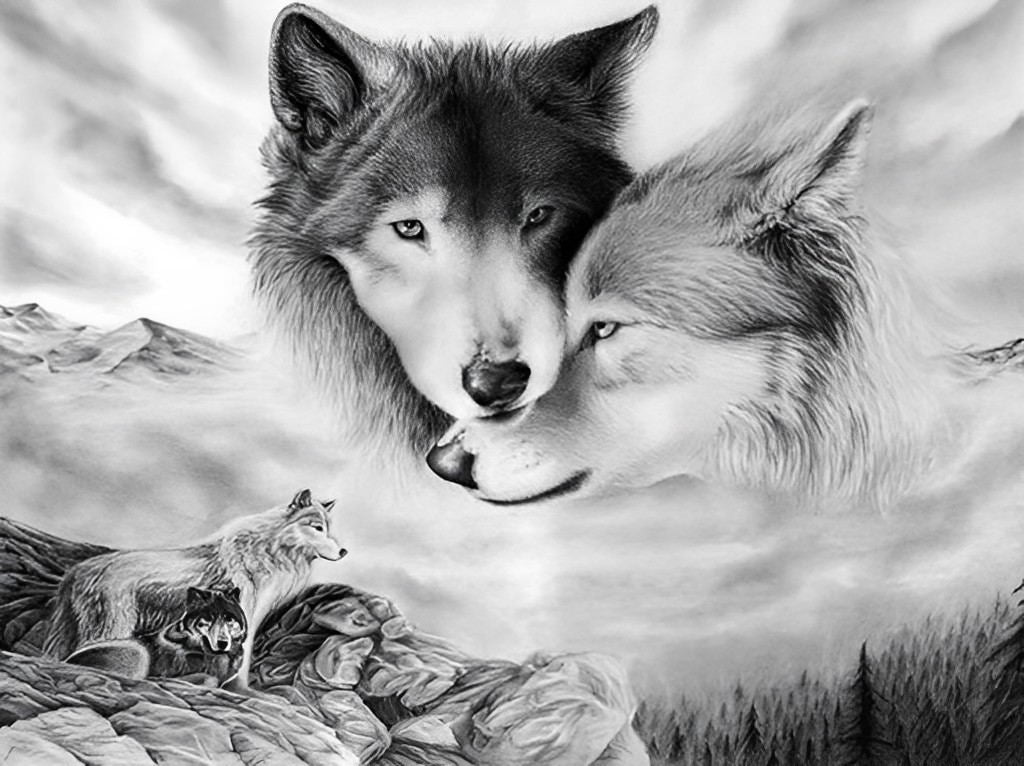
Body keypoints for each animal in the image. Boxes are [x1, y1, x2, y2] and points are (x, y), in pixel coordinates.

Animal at [44, 488, 344, 688]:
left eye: (330, 529)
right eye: (317, 527)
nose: (344, 551)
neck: (268, 550)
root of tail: (76, 571)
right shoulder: (245, 613)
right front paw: (241, 690)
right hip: (114, 628)